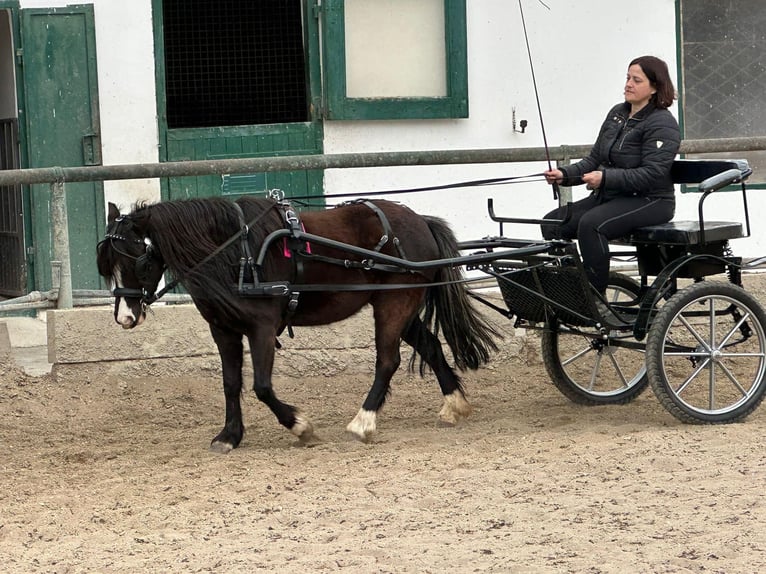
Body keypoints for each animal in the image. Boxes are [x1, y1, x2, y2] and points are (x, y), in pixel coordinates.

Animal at [96, 198, 500, 454]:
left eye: (140, 261)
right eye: (107, 264)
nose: (125, 317)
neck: (236, 252)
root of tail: (420, 221)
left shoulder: (261, 327)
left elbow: (261, 386)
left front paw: (300, 426)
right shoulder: (223, 329)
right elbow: (230, 384)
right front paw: (229, 435)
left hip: (394, 303)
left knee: (388, 361)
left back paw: (363, 422)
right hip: (399, 305)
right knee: (429, 345)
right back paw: (454, 404)